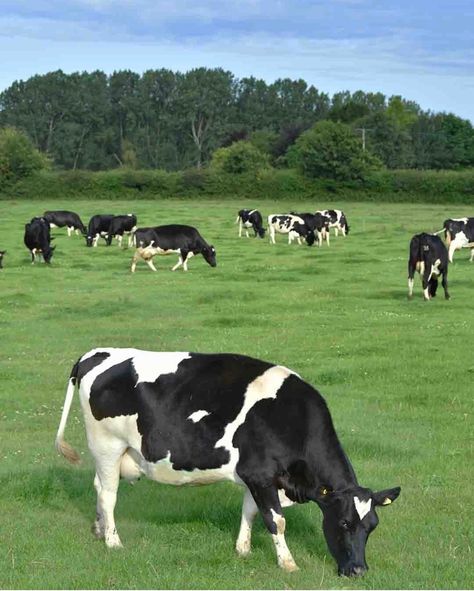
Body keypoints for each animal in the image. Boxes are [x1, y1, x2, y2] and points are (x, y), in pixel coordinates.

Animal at [57, 350, 402, 576]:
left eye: (372, 525)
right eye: (343, 523)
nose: (358, 570)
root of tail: (96, 353)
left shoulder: (256, 474)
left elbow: (250, 511)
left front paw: (243, 550)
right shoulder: (261, 474)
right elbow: (276, 520)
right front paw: (288, 563)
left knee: (99, 487)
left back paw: (99, 529)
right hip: (107, 445)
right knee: (108, 494)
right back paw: (113, 541)